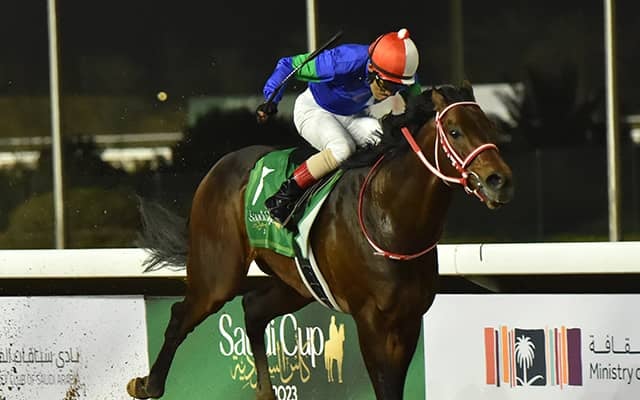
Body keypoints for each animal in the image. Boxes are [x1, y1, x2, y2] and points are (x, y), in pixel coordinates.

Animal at [127, 81, 514, 400]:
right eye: (455, 131)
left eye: (490, 127)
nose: (500, 181)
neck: (391, 218)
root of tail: (219, 167)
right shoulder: (371, 320)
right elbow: (385, 387)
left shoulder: (408, 318)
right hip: (218, 273)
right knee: (181, 315)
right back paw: (148, 385)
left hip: (297, 283)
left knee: (253, 308)